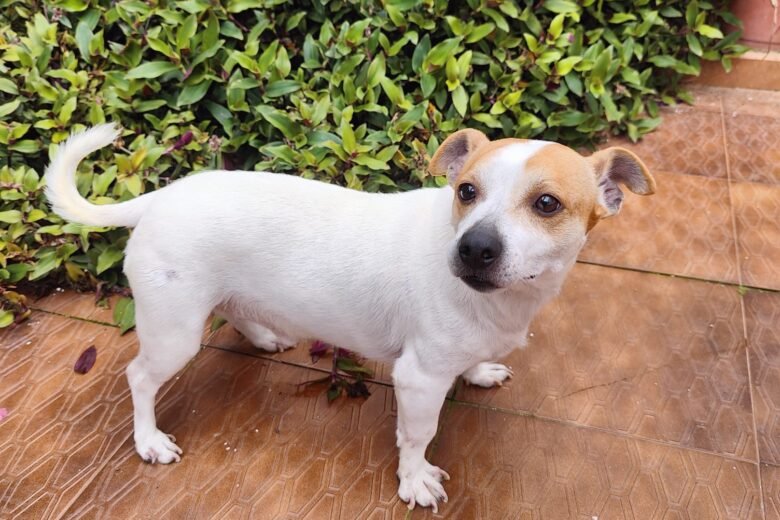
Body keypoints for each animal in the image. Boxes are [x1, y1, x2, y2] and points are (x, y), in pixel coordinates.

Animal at [45, 124, 655, 512]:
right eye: (466, 191)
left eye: (547, 204)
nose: (472, 248)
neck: (502, 300)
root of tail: (158, 198)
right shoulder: (418, 380)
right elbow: (418, 434)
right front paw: (414, 479)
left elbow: (470, 366)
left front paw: (479, 372)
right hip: (175, 334)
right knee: (139, 378)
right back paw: (148, 439)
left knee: (235, 313)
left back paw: (264, 335)